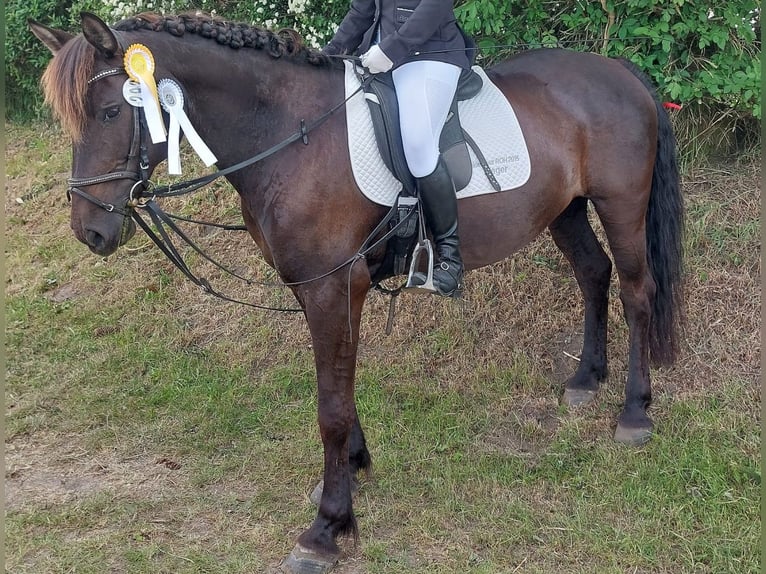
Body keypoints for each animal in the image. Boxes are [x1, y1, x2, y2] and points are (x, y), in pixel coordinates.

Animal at [30, 11, 683, 573]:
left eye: (110, 112)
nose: (89, 231)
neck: (288, 132)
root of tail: (619, 71)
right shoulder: (317, 288)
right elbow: (339, 388)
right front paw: (350, 470)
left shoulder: (333, 287)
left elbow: (331, 408)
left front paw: (326, 528)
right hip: (566, 210)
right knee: (593, 275)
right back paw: (585, 380)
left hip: (620, 206)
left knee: (636, 292)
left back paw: (633, 412)